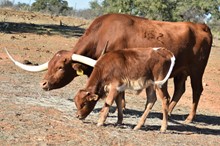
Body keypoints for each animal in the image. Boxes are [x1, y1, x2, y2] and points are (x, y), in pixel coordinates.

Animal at [5, 14, 213, 123]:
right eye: (50, 64)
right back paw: (168, 112)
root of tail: (201, 26)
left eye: (61, 67)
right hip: (180, 72)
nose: (43, 83)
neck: (103, 33)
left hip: (197, 70)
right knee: (180, 89)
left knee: (196, 90)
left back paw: (189, 118)